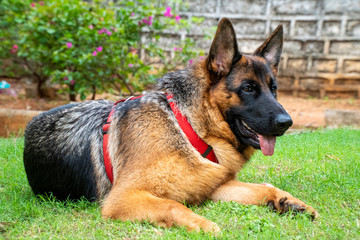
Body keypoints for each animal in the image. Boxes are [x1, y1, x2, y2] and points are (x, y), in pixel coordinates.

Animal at [23, 18, 318, 232]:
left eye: (273, 89)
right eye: (247, 88)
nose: (287, 122)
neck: (190, 129)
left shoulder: (214, 186)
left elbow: (263, 187)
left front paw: (288, 201)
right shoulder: (124, 198)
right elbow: (174, 206)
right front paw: (205, 225)